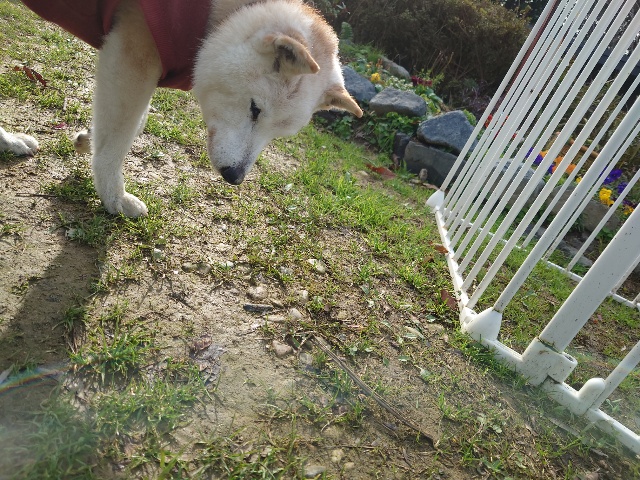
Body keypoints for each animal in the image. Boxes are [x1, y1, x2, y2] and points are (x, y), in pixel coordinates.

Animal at [7, 0, 362, 217]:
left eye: (277, 135)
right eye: (255, 110)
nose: (235, 177)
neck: (219, 14)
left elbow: (131, 124)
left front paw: (90, 139)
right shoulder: (132, 59)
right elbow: (119, 139)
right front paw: (114, 198)